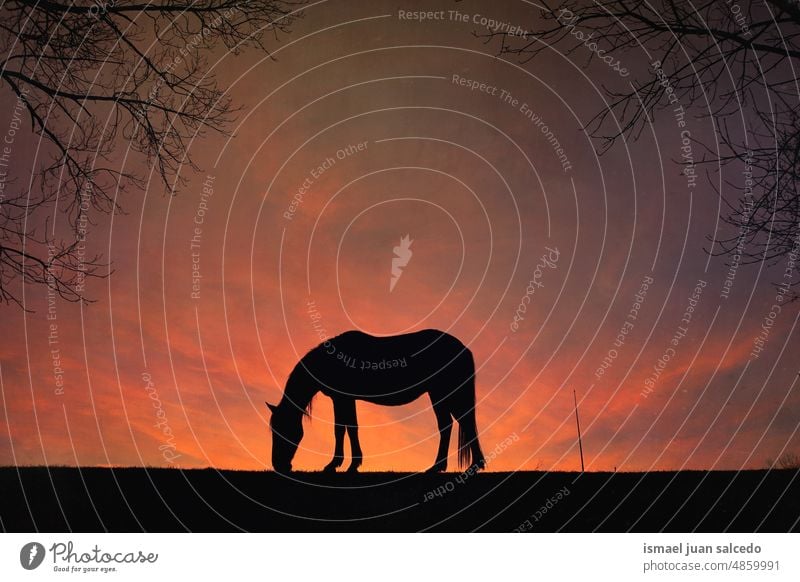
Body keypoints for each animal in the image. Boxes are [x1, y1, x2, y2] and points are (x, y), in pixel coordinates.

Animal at [266, 328, 484, 474]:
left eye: (282, 430)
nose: (279, 466)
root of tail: (464, 348)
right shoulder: (346, 399)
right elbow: (349, 428)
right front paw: (349, 464)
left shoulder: (342, 398)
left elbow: (343, 429)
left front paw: (338, 465)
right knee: (453, 424)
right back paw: (445, 466)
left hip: (442, 393)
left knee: (457, 423)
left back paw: (465, 465)